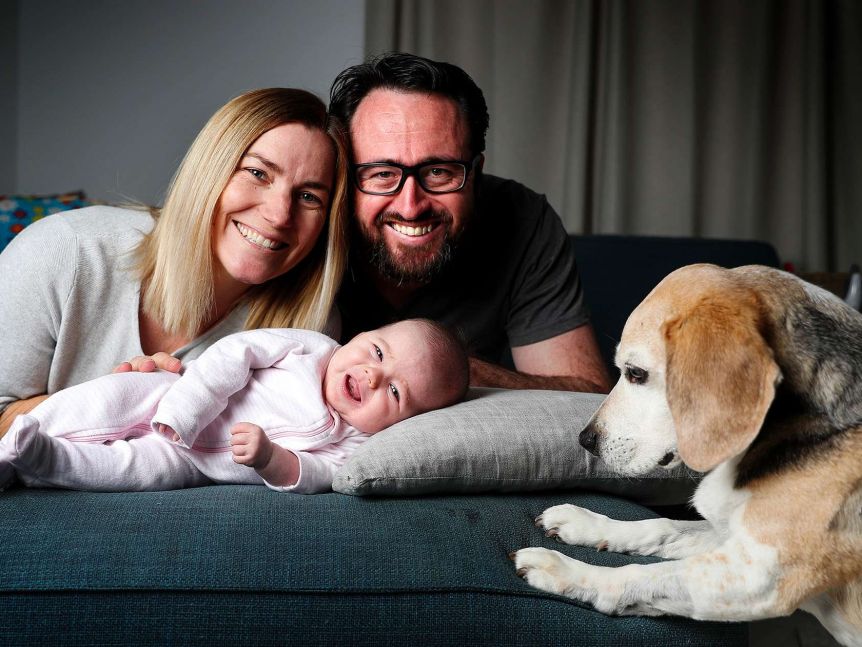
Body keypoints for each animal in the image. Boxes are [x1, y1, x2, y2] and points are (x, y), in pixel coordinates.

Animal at [512, 264, 862, 647]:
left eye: (636, 373)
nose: (585, 440)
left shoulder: (758, 578)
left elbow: (639, 575)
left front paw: (566, 570)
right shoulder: (729, 536)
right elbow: (662, 526)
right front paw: (587, 524)